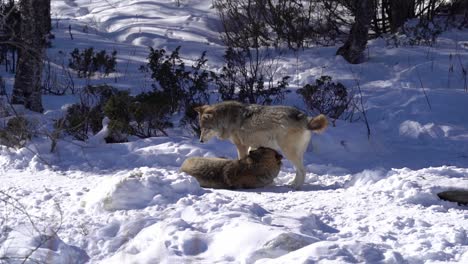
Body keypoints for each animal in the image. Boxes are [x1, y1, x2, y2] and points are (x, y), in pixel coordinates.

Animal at [193, 101, 326, 190]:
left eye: (206, 129)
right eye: (201, 128)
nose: (200, 141)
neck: (227, 119)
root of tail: (305, 118)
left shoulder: (242, 146)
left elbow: (241, 160)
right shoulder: (253, 146)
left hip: (288, 152)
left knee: (303, 170)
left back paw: (297, 187)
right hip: (296, 154)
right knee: (299, 170)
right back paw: (292, 184)